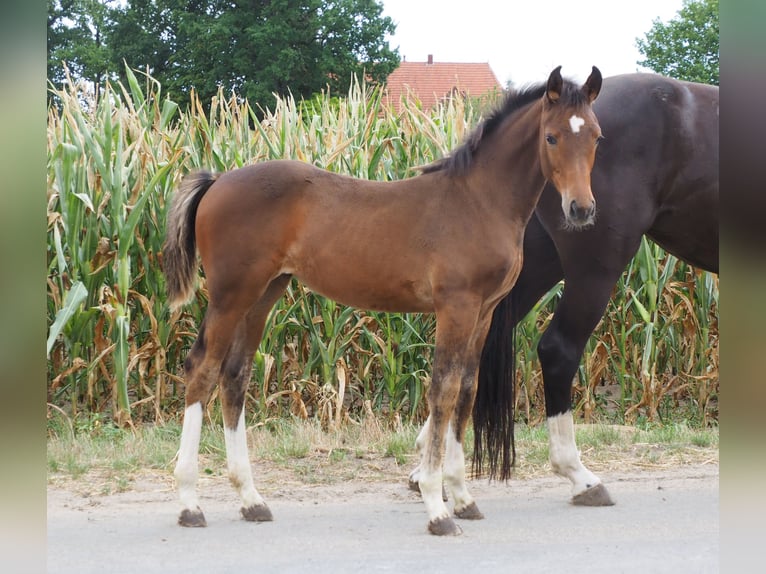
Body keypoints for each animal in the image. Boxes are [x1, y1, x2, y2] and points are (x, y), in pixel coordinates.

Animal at [164, 66, 608, 536]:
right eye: (551, 137)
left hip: (265, 292)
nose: (581, 209)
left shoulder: (484, 312)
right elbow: (444, 389)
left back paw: (251, 499)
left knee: (235, 375)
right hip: (231, 294)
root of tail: (217, 182)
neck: (478, 201)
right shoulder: (457, 307)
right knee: (202, 370)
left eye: (596, 137)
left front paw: (463, 497)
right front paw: (436, 505)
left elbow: (466, 389)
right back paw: (190, 503)